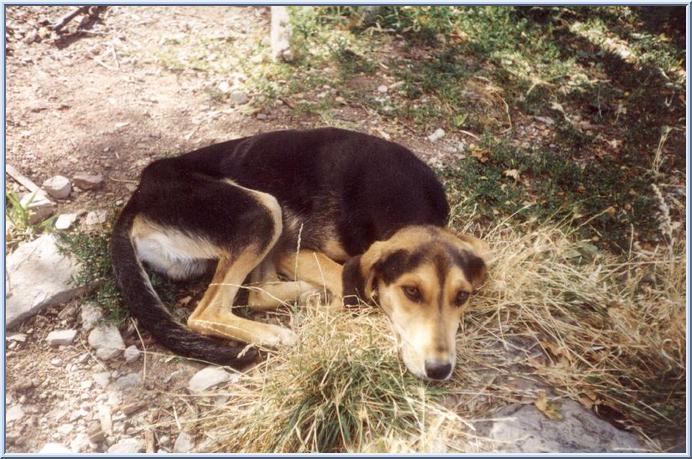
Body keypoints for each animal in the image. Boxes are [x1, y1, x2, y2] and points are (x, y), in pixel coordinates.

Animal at [112, 126, 486, 380]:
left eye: (462, 297)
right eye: (411, 292)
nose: (440, 370)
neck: (404, 205)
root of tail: (139, 194)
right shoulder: (295, 251)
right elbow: (351, 285)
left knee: (258, 293)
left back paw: (307, 296)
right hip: (262, 211)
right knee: (206, 313)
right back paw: (276, 333)